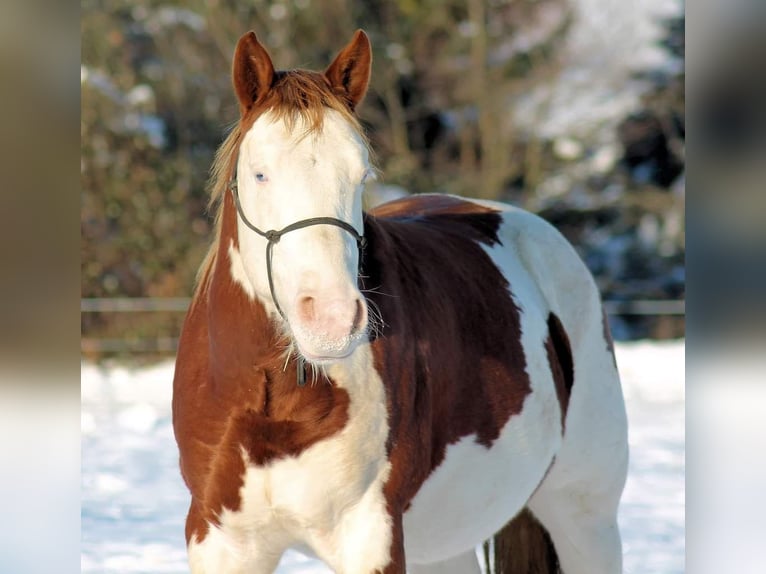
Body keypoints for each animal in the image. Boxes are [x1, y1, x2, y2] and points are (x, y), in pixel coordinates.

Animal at [172, 29, 628, 574]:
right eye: (260, 174)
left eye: (361, 175)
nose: (331, 319)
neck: (272, 405)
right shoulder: (222, 541)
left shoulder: (371, 535)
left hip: (584, 514)